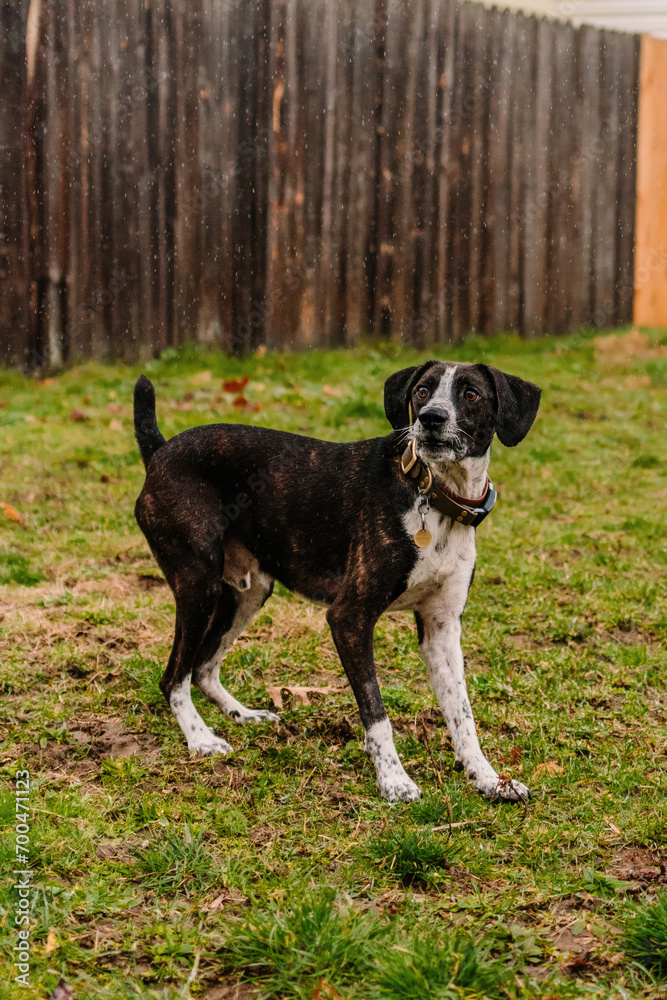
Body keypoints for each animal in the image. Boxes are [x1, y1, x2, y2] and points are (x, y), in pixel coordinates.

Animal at [133, 360, 540, 804]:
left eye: (471, 395)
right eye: (422, 391)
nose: (432, 418)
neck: (436, 495)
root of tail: (161, 449)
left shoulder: (442, 627)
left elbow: (462, 714)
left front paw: (488, 778)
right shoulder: (349, 617)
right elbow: (377, 712)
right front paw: (394, 779)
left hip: (249, 591)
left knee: (203, 666)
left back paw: (242, 714)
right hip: (199, 583)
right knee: (175, 676)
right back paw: (200, 738)